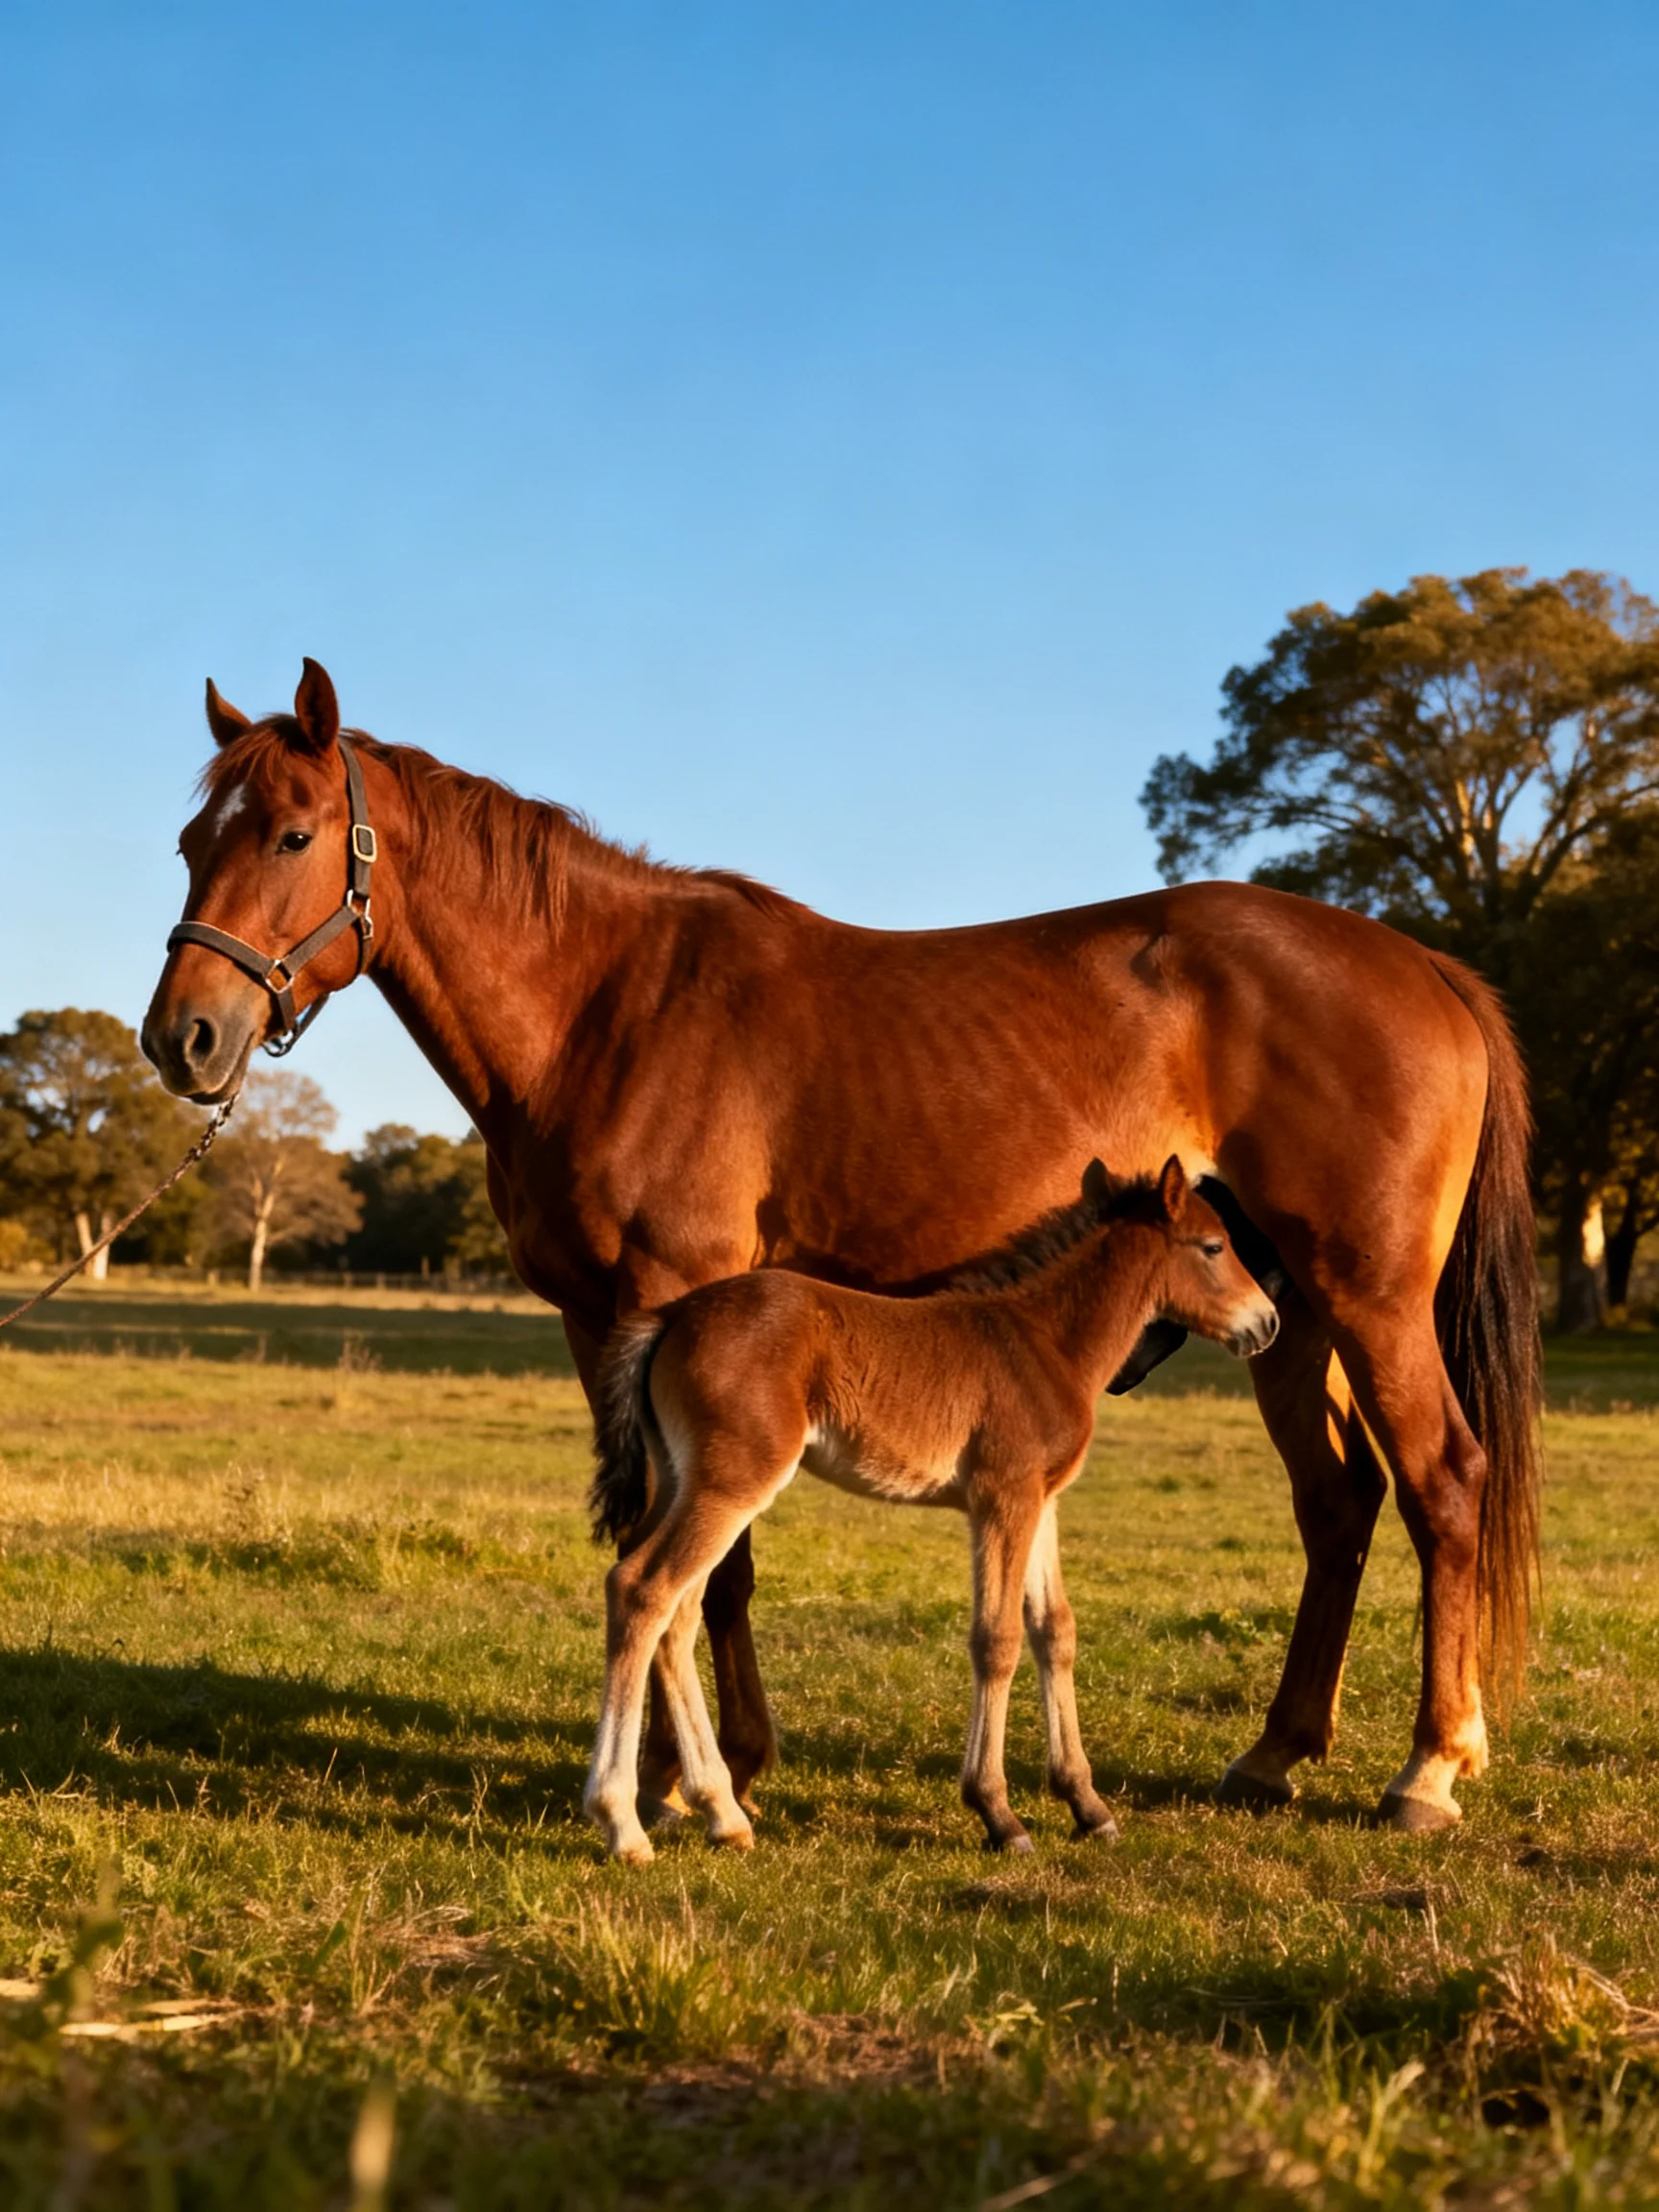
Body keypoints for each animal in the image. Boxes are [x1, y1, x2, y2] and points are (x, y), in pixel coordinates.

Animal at [583, 1156, 1279, 1862]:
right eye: (1214, 1246)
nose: (1268, 1323)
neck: (1046, 1343)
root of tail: (670, 1316)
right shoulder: (1001, 1498)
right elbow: (997, 1638)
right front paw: (999, 1813)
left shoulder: (1041, 1500)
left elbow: (1054, 1630)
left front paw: (1087, 1805)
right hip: (732, 1482)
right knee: (643, 1588)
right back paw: (622, 1822)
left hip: (684, 1479)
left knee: (677, 1610)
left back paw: (723, 1814)